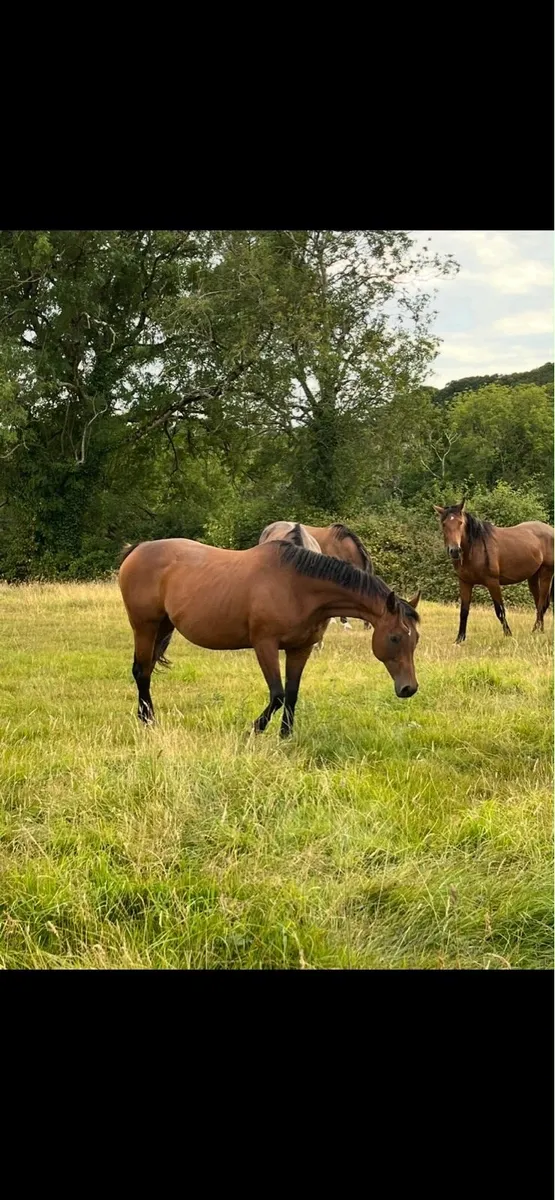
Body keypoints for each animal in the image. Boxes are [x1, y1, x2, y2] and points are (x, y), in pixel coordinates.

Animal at [118, 536, 421, 738]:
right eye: (395, 637)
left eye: (415, 639)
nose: (409, 688)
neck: (298, 587)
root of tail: (138, 549)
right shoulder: (265, 645)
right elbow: (277, 694)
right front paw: (255, 729)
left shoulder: (301, 649)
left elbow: (292, 693)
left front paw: (285, 735)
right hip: (144, 626)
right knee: (141, 672)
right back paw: (148, 721)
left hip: (163, 627)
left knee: (146, 671)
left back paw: (145, 716)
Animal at [433, 498, 555, 642]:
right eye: (444, 524)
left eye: (460, 522)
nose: (455, 551)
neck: (475, 548)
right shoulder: (465, 582)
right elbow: (464, 611)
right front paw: (459, 639)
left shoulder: (493, 582)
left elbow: (500, 610)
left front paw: (508, 635)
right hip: (533, 576)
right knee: (539, 603)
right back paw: (539, 631)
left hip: (546, 573)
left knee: (542, 604)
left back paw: (536, 631)